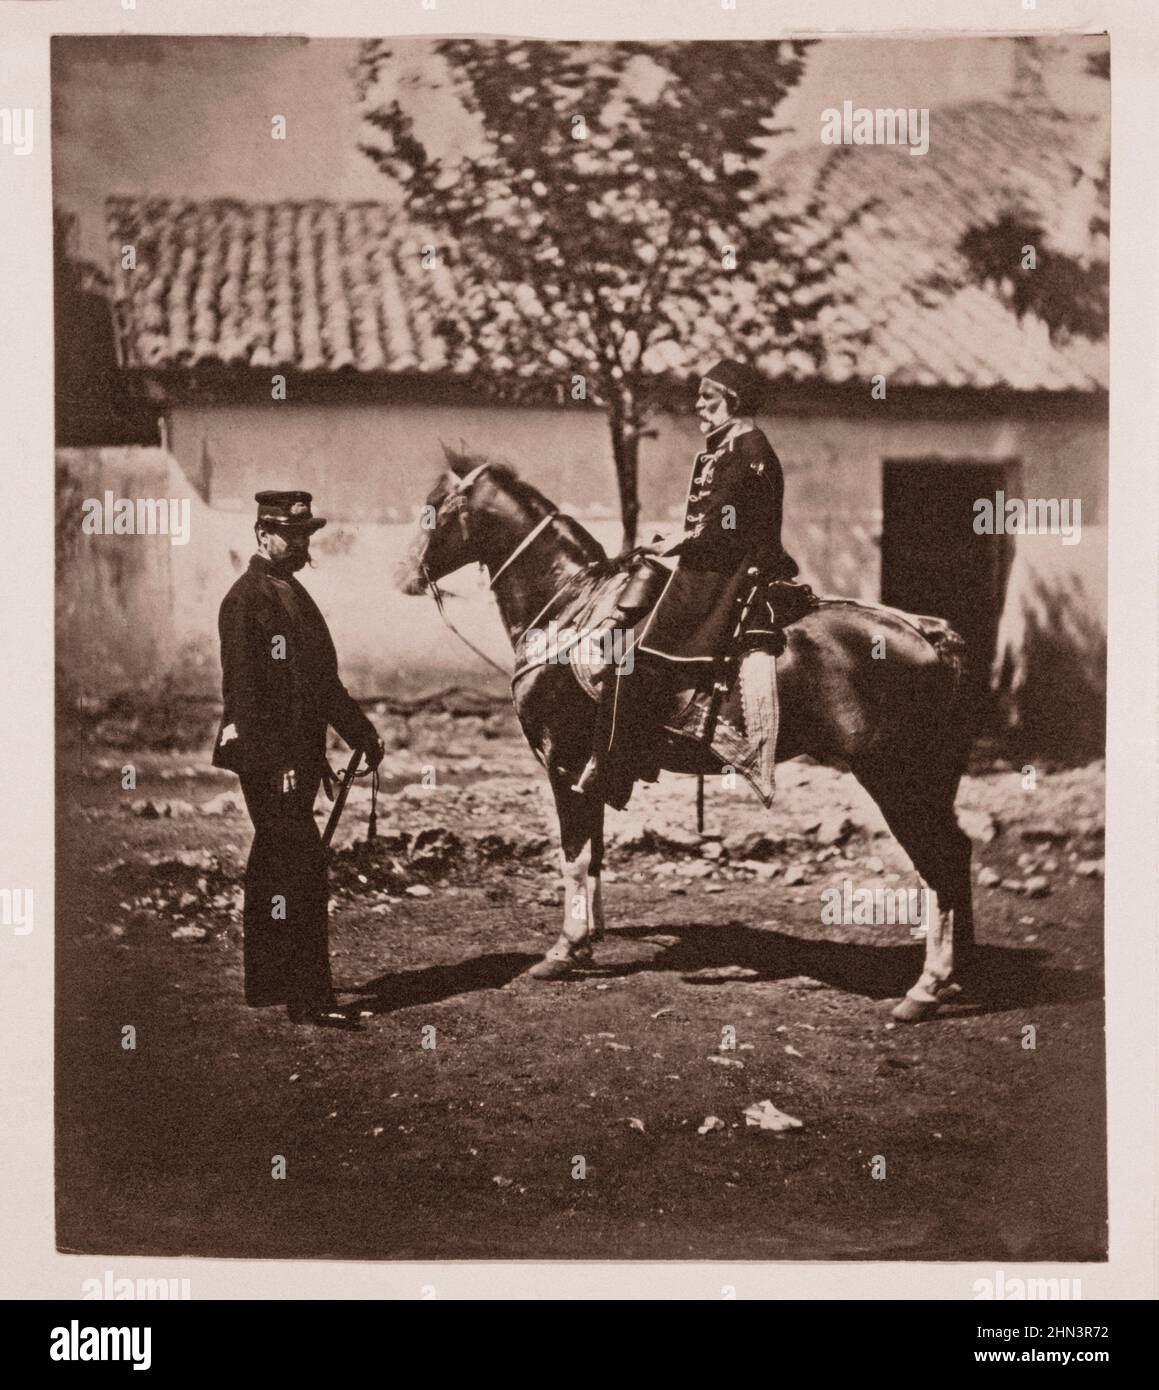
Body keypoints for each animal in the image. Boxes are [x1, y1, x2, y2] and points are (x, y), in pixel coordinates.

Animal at [403, 447, 972, 1023]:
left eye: (436, 506)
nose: (408, 573)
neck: (569, 607)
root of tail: (929, 632)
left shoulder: (564, 764)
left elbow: (575, 854)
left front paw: (565, 949)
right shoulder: (592, 772)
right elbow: (595, 852)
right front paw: (590, 939)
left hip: (893, 778)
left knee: (940, 861)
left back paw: (926, 989)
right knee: (957, 854)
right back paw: (954, 976)